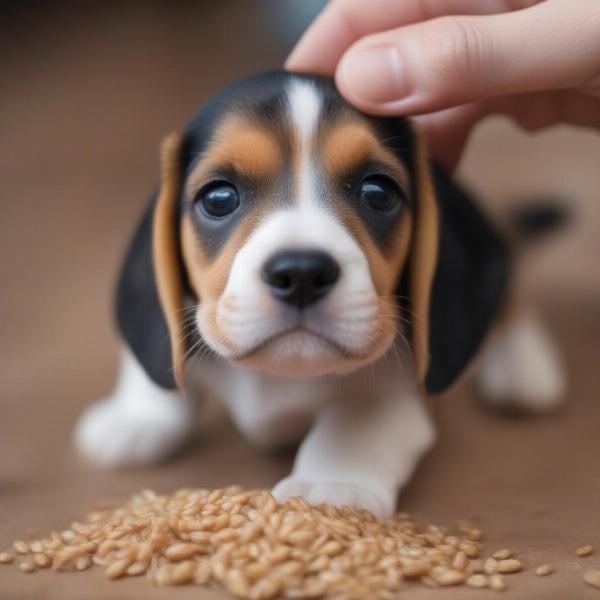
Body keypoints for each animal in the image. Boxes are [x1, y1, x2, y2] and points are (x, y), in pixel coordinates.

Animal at [74, 71, 564, 520]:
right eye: (217, 198)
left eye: (377, 191)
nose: (301, 272)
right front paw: (137, 417)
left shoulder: (396, 390)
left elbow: (354, 423)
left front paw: (332, 486)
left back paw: (523, 368)